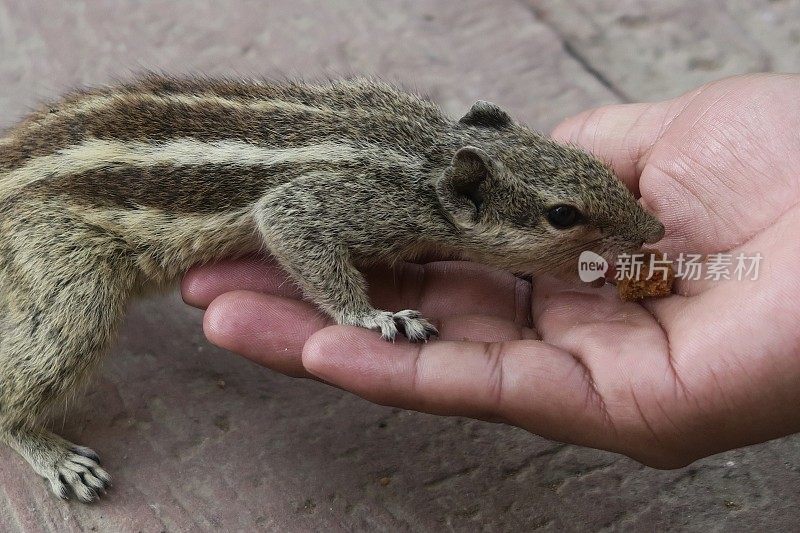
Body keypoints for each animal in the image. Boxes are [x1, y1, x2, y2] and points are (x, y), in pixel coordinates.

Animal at [0, 72, 664, 500]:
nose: (656, 230)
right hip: (66, 281)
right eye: (563, 215)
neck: (425, 151)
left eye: (591, 163)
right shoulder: (342, 205)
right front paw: (375, 317)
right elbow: (286, 222)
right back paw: (53, 453)